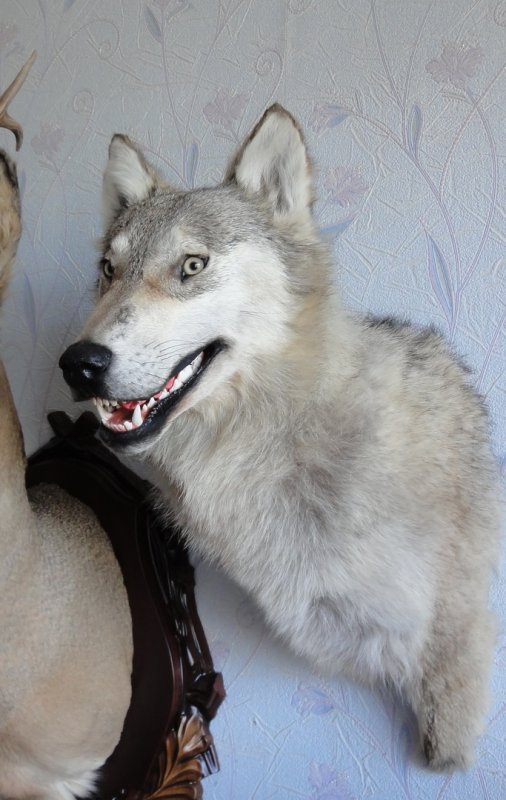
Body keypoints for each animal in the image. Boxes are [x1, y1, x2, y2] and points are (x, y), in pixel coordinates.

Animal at [60, 104, 501, 771]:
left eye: (192, 265)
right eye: (108, 271)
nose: (77, 365)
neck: (270, 445)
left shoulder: (453, 604)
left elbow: (451, 666)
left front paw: (445, 745)